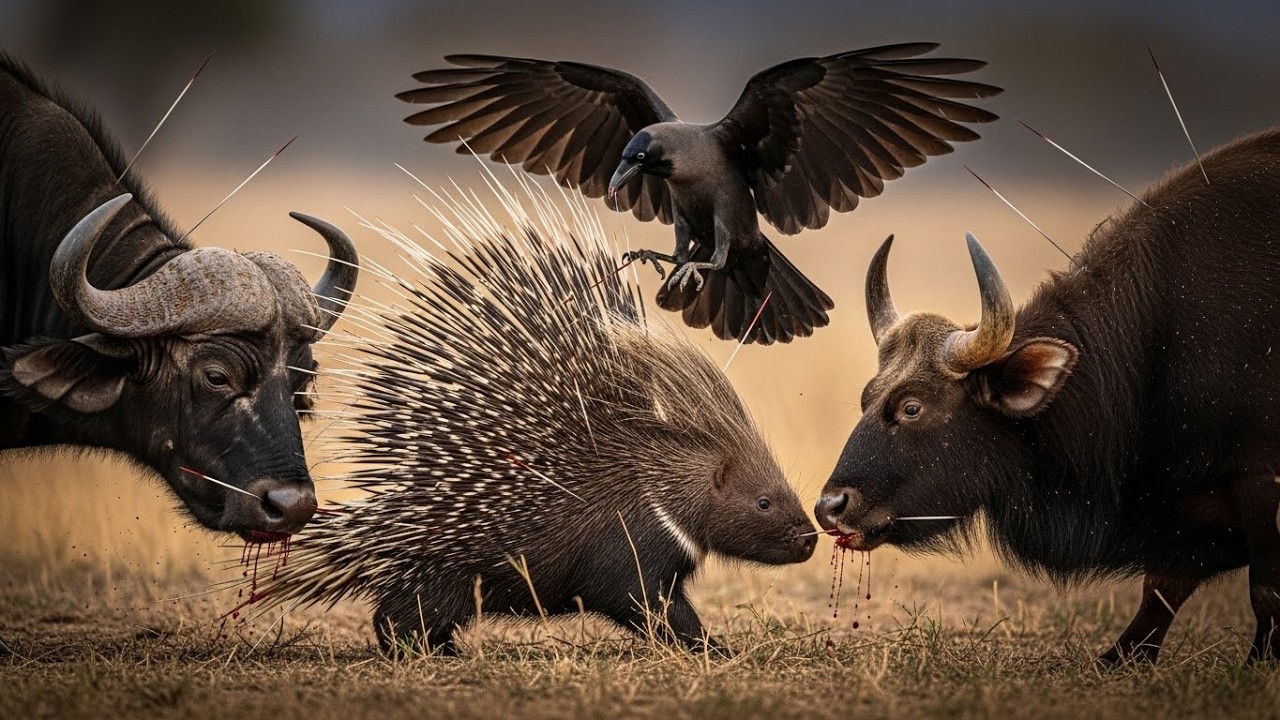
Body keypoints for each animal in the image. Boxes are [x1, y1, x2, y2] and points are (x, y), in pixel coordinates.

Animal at [816, 127, 1280, 664]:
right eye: (868, 397)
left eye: (912, 406)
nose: (829, 507)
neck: (1154, 346)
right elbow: (1163, 587)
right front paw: (1121, 655)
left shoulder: (1260, 479)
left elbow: (1264, 590)